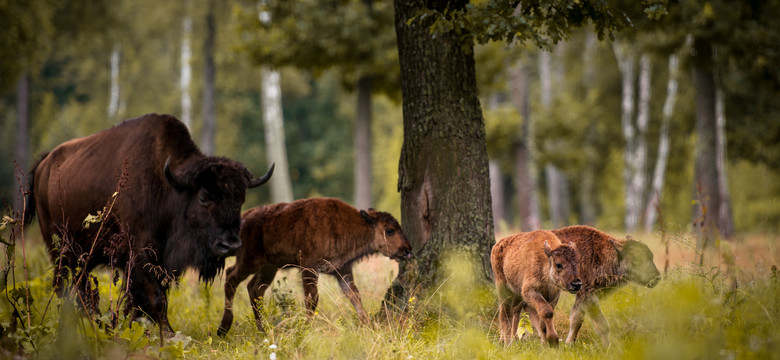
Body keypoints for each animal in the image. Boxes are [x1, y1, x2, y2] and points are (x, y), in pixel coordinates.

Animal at [23, 114, 274, 334]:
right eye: (203, 197)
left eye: (240, 199)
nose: (230, 245)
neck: (169, 188)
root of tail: (44, 164)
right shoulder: (138, 255)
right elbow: (155, 298)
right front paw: (168, 334)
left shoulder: (160, 262)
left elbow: (144, 300)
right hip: (61, 251)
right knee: (66, 288)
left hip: (83, 256)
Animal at [216, 195, 412, 336]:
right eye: (389, 230)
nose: (407, 250)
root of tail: (245, 216)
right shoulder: (309, 268)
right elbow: (312, 299)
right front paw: (306, 328)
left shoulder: (343, 271)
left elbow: (354, 296)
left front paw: (368, 325)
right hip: (249, 261)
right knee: (231, 277)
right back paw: (223, 328)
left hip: (268, 267)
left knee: (255, 289)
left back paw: (262, 330)